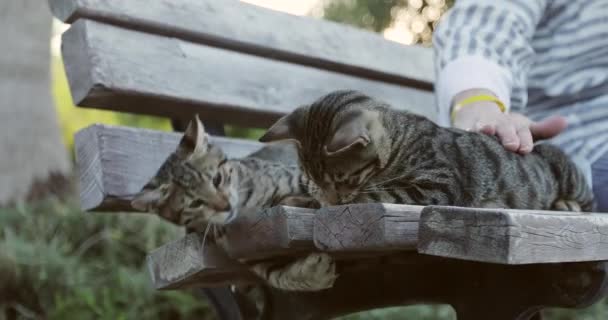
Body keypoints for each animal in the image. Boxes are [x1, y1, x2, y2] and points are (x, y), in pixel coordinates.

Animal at [131, 117, 338, 292]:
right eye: (196, 203)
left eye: (217, 179)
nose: (225, 206)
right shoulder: (253, 252)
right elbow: (276, 276)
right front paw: (313, 273)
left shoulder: (298, 176)